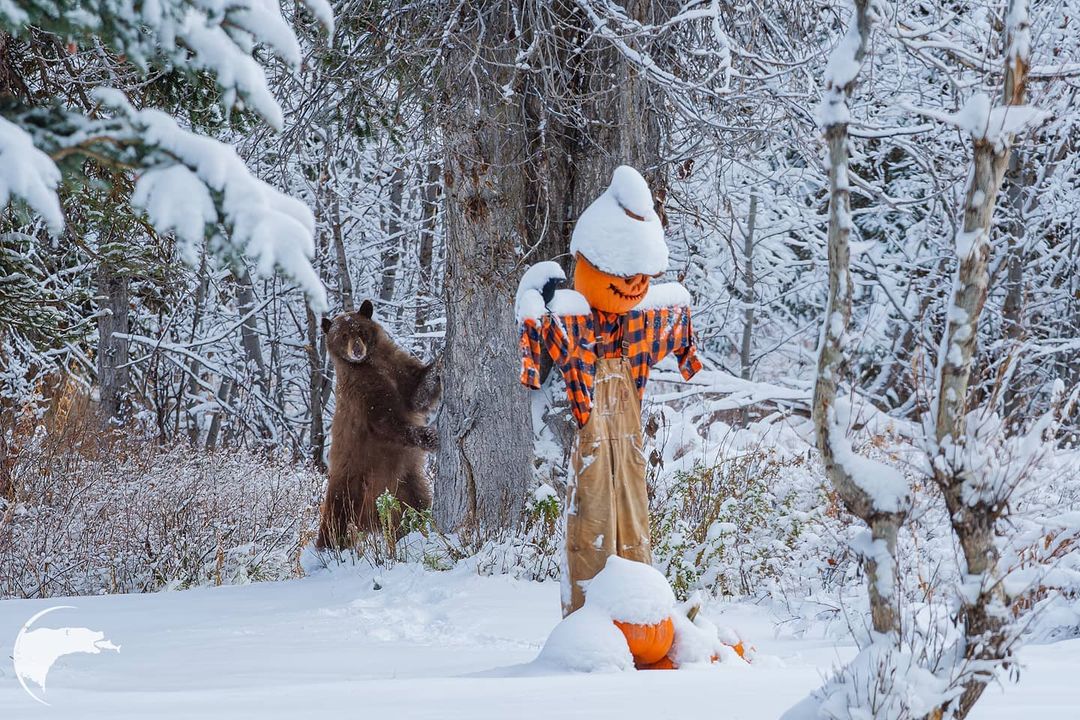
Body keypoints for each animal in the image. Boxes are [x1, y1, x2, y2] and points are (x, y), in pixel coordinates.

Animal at [315, 302, 442, 548]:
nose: (357, 351)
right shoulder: (362, 394)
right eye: (343, 336)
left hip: (406, 485)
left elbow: (418, 391)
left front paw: (439, 364)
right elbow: (385, 422)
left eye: (360, 331)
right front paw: (429, 437)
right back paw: (325, 549)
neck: (370, 365)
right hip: (348, 489)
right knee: (335, 524)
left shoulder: (397, 367)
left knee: (417, 507)